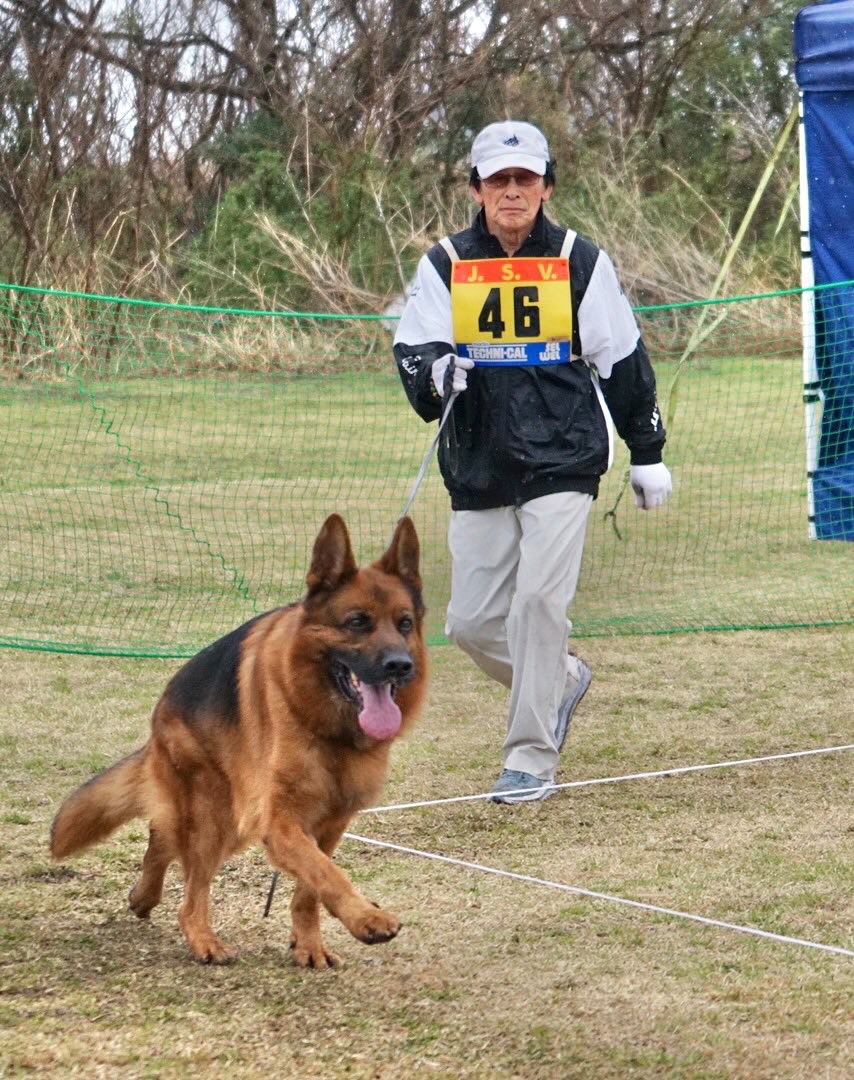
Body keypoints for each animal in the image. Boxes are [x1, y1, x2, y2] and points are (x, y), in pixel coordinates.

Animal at [50, 514, 427, 972]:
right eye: (358, 622)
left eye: (404, 623)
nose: (400, 666)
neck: (326, 728)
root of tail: (162, 708)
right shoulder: (277, 821)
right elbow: (327, 874)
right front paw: (366, 918)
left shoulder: (331, 823)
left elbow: (311, 886)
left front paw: (309, 944)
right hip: (215, 814)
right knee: (188, 887)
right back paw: (203, 939)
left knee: (162, 838)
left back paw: (144, 898)